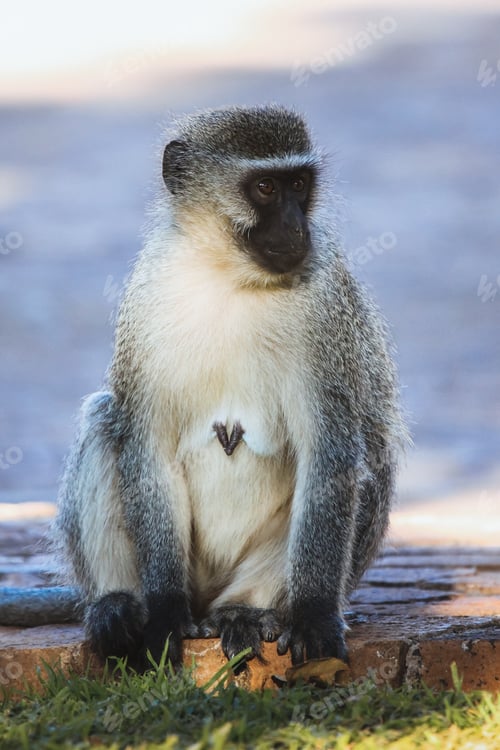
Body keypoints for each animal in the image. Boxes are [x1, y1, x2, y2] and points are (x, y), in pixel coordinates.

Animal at [0, 105, 408, 672]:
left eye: (300, 184)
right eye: (265, 188)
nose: (297, 227)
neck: (228, 276)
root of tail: (209, 598)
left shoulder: (326, 311)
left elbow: (331, 452)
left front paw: (313, 615)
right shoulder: (146, 300)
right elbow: (146, 441)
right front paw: (164, 615)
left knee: (367, 455)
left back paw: (245, 611)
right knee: (107, 419)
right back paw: (118, 606)